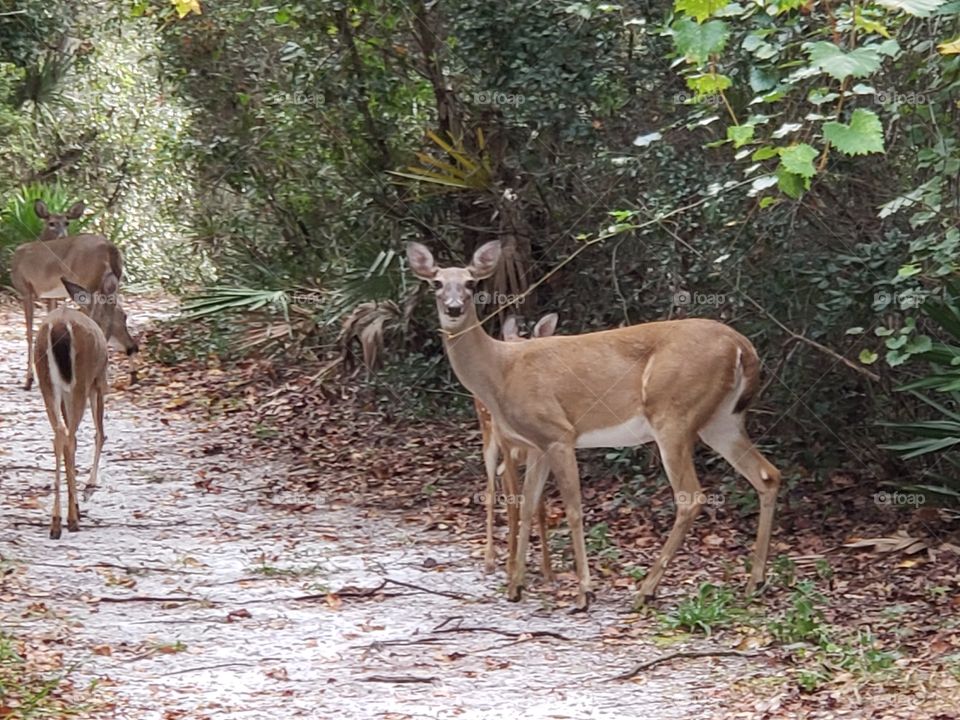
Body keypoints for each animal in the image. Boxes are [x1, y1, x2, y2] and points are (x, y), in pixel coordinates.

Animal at [10, 200, 131, 390]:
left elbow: (29, 333)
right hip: (110, 283)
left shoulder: (25, 288)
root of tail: (111, 248)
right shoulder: (52, 295)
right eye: (52, 223)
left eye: (67, 222)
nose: (62, 235)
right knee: (115, 313)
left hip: (88, 281)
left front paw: (29, 380)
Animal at [35, 276, 138, 538]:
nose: (133, 347)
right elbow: (100, 433)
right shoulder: (99, 382)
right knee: (70, 436)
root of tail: (59, 327)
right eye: (124, 315)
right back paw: (70, 519)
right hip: (81, 380)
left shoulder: (65, 394)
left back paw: (56, 522)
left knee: (59, 434)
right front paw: (90, 485)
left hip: (47, 383)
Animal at [478, 313, 558, 580]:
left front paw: (548, 570)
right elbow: (514, 506)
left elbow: (538, 507)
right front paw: (512, 566)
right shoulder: (506, 445)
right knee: (491, 490)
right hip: (489, 437)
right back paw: (490, 559)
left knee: (502, 479)